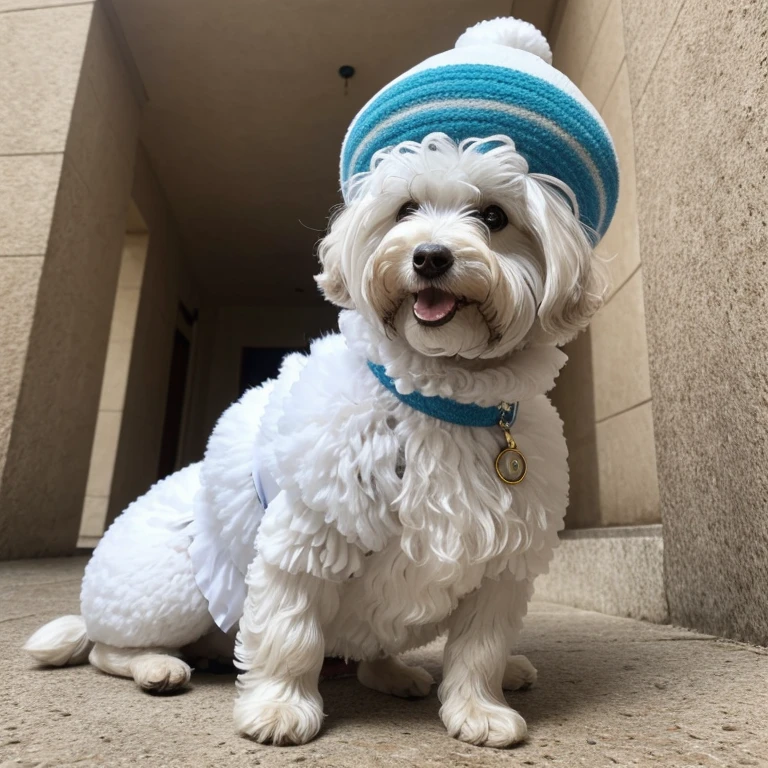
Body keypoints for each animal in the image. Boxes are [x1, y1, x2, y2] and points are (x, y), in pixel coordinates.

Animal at [24, 18, 616, 752]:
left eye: (495, 218)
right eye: (406, 209)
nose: (429, 256)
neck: (442, 396)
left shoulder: (501, 559)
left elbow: (479, 647)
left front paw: (479, 707)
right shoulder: (309, 529)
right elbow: (291, 630)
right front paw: (278, 707)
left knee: (376, 649)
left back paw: (400, 672)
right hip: (170, 588)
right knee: (110, 645)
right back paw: (160, 665)